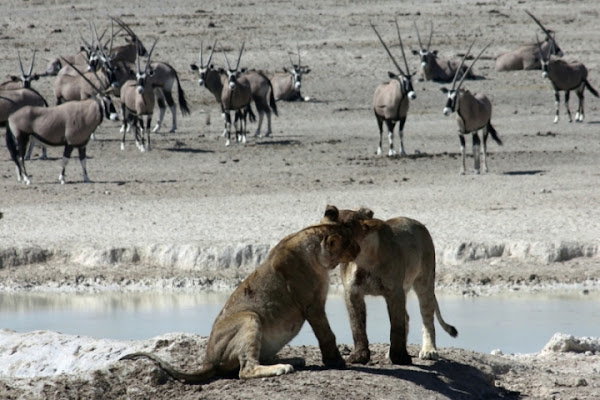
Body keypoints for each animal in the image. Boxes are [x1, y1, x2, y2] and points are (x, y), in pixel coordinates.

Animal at [119, 219, 378, 384]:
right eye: (349, 243)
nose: (358, 247)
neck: (316, 253)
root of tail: (208, 359)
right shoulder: (312, 305)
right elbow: (327, 334)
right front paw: (336, 361)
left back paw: (291, 359)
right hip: (249, 317)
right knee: (245, 370)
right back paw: (281, 367)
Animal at [322, 206, 458, 366]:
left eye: (346, 225)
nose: (329, 210)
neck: (364, 259)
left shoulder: (394, 292)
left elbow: (396, 327)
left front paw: (399, 357)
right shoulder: (352, 293)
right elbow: (357, 327)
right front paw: (359, 356)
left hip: (424, 282)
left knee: (427, 319)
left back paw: (429, 350)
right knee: (407, 317)